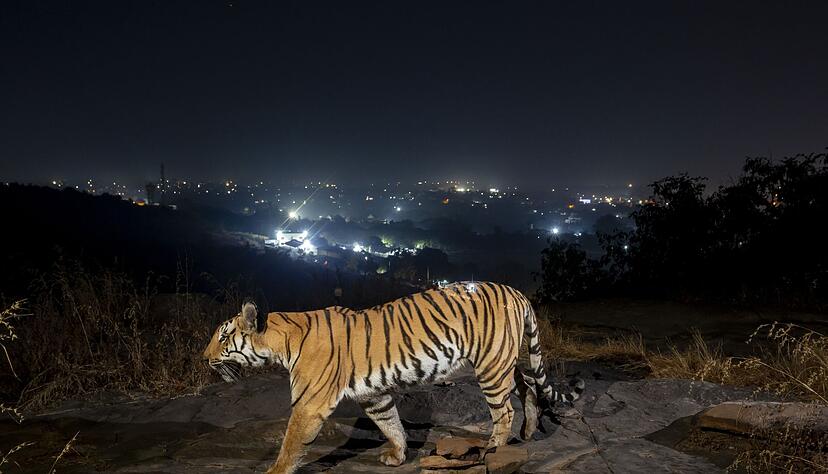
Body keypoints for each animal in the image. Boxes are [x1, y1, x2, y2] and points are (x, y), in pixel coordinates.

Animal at [202, 282, 584, 474]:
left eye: (223, 336)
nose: (204, 359)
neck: (281, 340)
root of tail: (517, 292)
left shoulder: (309, 404)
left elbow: (290, 444)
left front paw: (274, 472)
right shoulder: (375, 396)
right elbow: (392, 425)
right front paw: (398, 457)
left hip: (491, 366)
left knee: (503, 410)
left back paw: (493, 448)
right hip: (508, 359)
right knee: (529, 386)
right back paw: (529, 431)